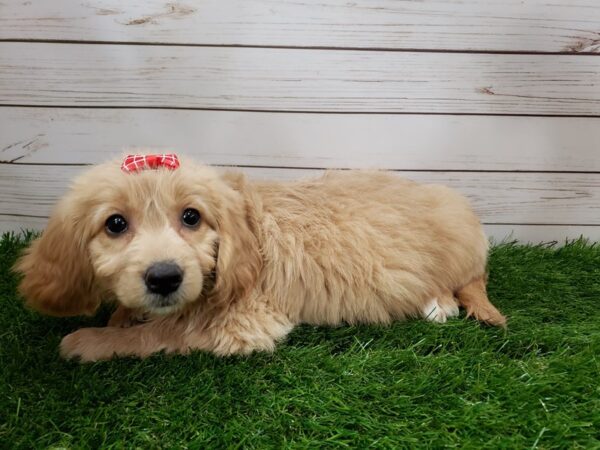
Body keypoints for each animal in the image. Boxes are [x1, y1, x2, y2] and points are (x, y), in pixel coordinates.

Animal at [14, 155, 504, 362]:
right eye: (115, 224)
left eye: (191, 217)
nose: (165, 278)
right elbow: (143, 315)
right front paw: (120, 316)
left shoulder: (242, 320)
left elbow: (159, 332)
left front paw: (91, 341)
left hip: (459, 237)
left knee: (474, 277)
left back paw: (450, 304)